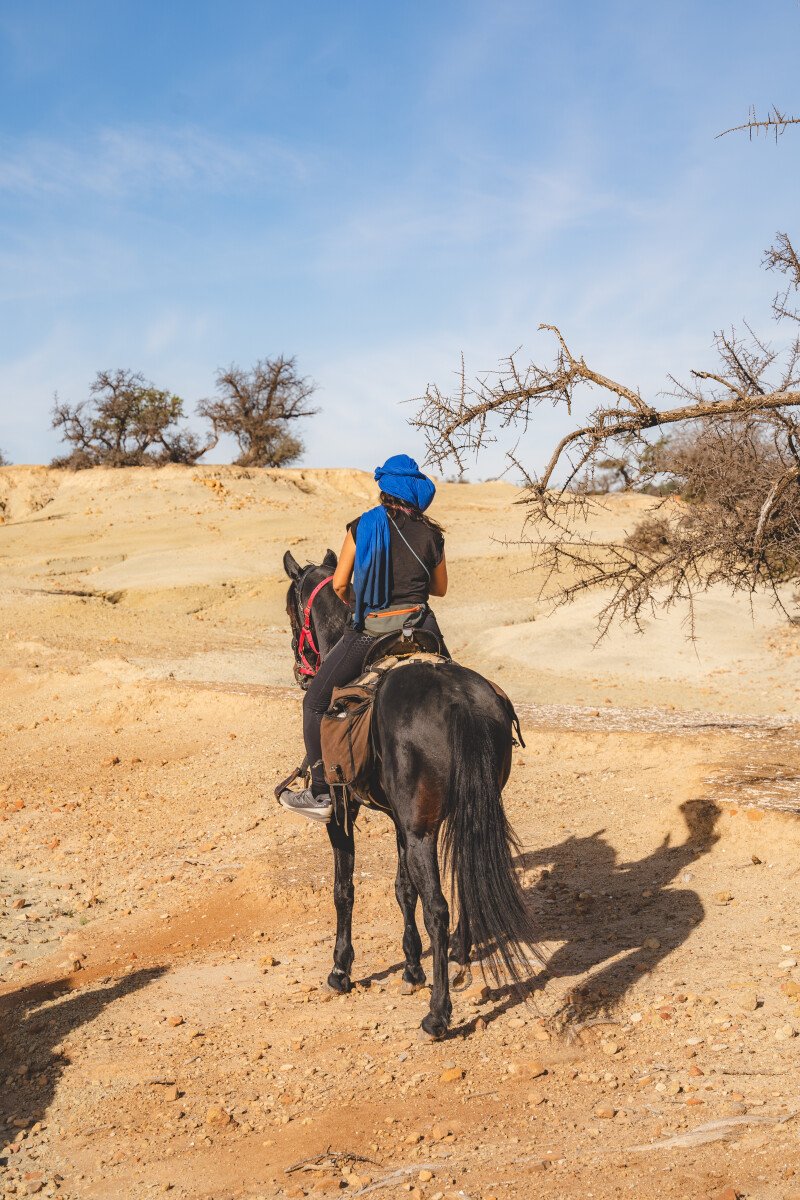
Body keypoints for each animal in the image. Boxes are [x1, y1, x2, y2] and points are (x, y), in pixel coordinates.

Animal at [283, 549, 544, 1036]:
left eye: (291, 610)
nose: (301, 671)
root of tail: (460, 700)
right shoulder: (399, 818)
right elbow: (404, 888)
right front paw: (411, 968)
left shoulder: (346, 811)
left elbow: (344, 888)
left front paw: (341, 969)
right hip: (461, 814)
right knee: (464, 884)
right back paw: (459, 961)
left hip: (423, 829)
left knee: (439, 907)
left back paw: (438, 1014)